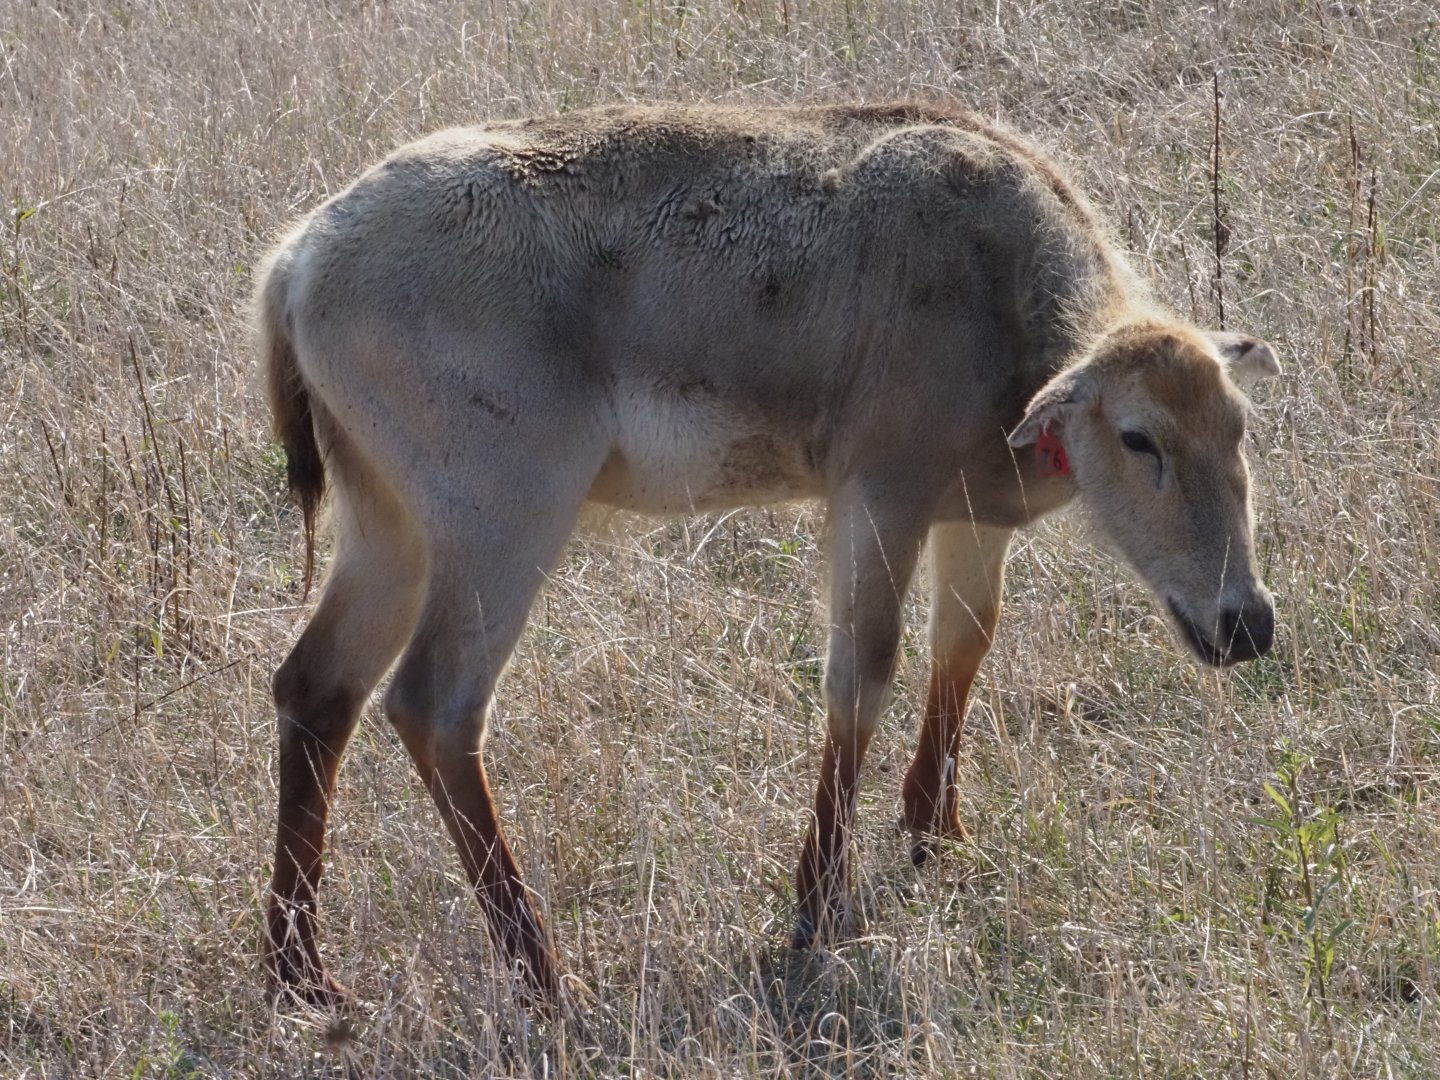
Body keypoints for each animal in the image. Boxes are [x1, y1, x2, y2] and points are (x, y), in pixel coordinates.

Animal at [253, 102, 1280, 1006]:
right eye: (1140, 438)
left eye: (1240, 426)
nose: (1246, 623)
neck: (1002, 297)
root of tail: (294, 263)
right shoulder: (879, 490)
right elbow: (863, 671)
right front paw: (815, 905)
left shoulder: (970, 513)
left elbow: (966, 640)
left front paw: (935, 833)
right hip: (503, 517)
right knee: (433, 704)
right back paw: (545, 976)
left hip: (386, 523)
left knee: (317, 685)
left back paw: (301, 973)